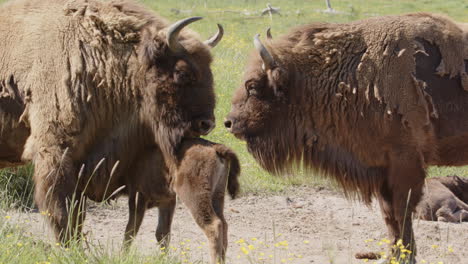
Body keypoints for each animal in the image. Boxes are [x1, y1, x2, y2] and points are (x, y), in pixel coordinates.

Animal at [225, 11, 466, 262]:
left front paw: (404, 256)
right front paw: (392, 255)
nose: (229, 122)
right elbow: (389, 215)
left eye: (252, 86)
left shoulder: (405, 164)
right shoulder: (382, 169)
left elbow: (401, 212)